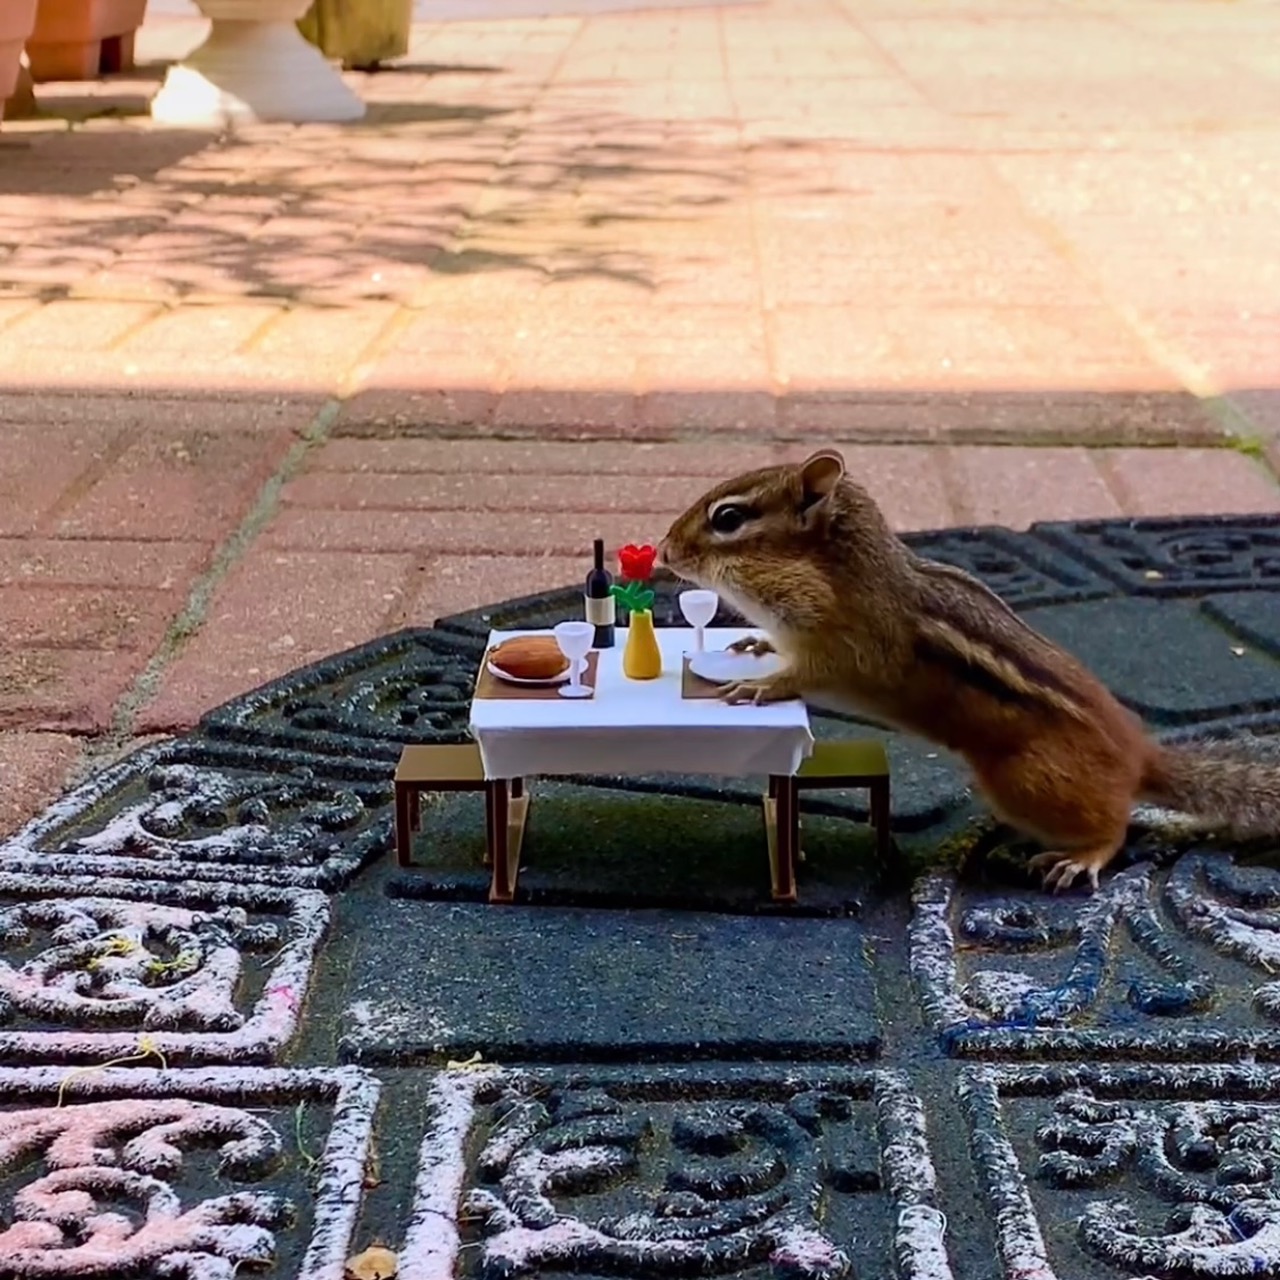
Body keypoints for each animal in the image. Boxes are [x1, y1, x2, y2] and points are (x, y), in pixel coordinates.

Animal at [658, 448, 1280, 893]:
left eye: (729, 518)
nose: (663, 551)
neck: (839, 570)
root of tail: (1140, 755)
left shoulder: (850, 648)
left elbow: (805, 676)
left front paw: (758, 686)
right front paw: (753, 646)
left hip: (1026, 781)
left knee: (1115, 824)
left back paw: (1082, 855)